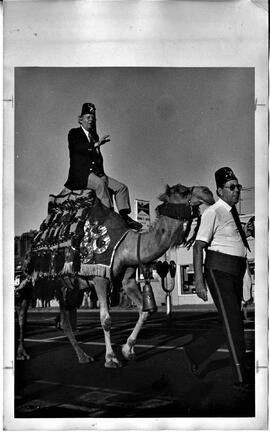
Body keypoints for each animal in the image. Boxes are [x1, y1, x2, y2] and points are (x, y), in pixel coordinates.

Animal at [15, 182, 215, 368]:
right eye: (182, 191)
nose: (208, 192)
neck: (126, 246)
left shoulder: (127, 280)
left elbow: (145, 311)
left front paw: (128, 350)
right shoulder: (99, 276)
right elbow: (106, 319)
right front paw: (111, 358)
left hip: (68, 286)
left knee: (63, 320)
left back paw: (83, 356)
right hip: (29, 284)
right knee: (22, 317)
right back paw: (23, 353)